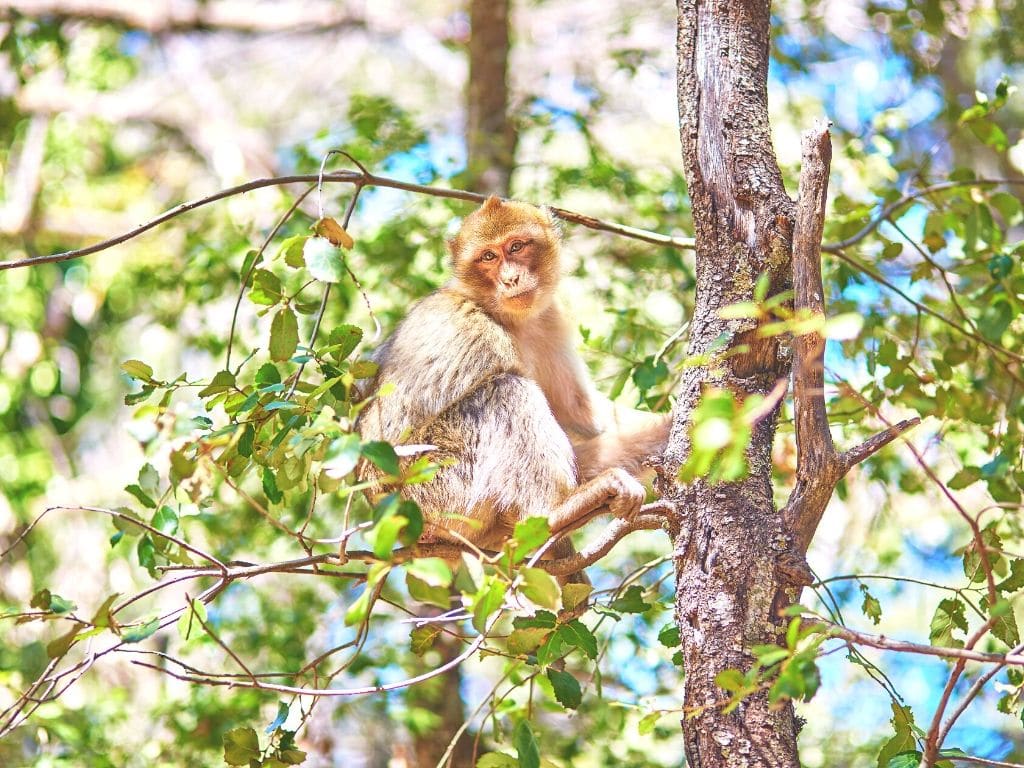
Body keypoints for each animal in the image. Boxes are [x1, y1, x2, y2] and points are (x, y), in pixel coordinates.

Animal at [358, 195, 671, 569]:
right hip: (432, 491)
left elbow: (584, 415)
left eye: (517, 246)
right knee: (504, 389)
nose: (510, 278)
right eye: (488, 257)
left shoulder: (549, 319)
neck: (505, 317)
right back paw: (555, 512)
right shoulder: (475, 332)